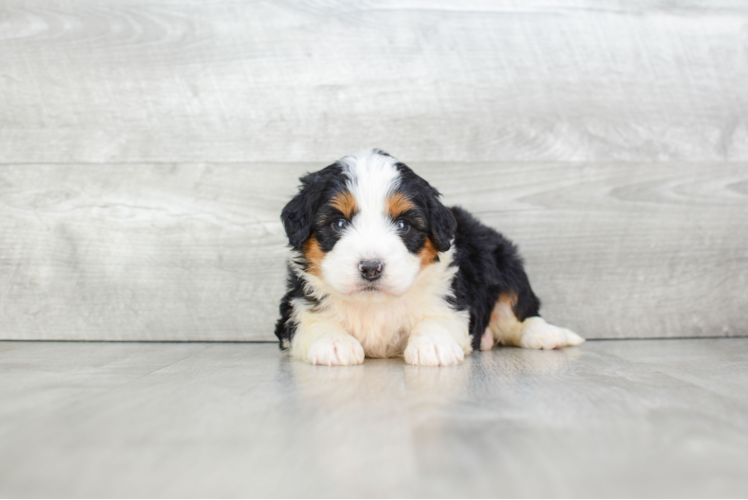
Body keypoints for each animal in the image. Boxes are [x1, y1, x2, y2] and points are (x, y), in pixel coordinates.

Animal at [274, 150, 584, 366]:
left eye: (403, 225)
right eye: (338, 223)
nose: (371, 268)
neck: (375, 305)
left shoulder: (450, 295)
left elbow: (437, 317)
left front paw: (433, 346)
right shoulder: (297, 304)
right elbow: (312, 321)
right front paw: (334, 343)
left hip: (504, 263)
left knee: (519, 312)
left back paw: (549, 335)